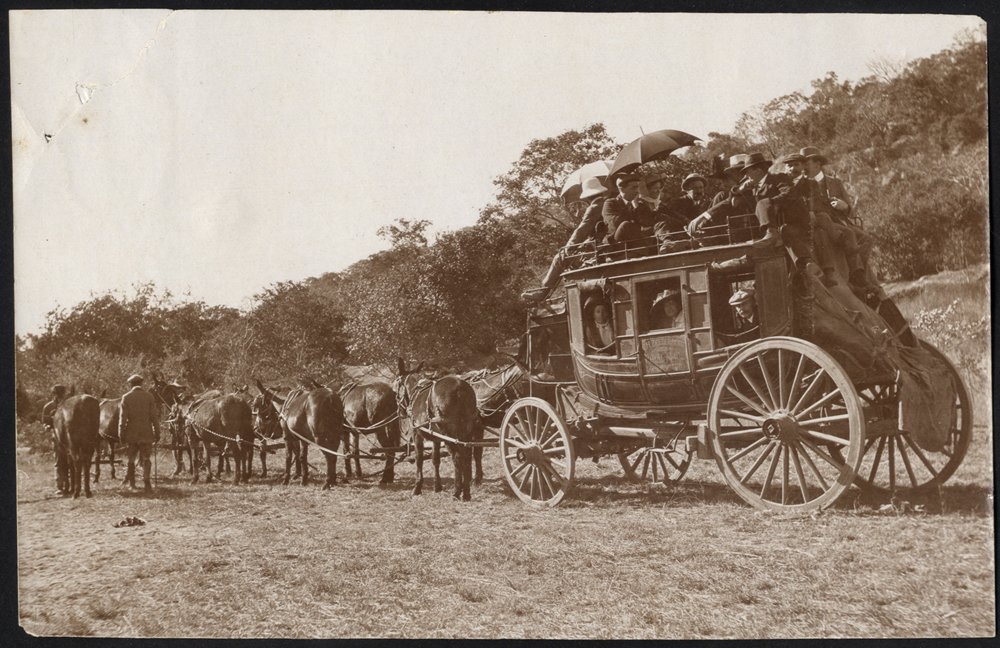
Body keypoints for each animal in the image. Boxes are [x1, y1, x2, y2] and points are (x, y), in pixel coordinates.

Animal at [392, 360, 478, 502]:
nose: (400, 411)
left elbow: (419, 459)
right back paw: (466, 492)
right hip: (466, 433)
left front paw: (417, 487)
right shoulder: (436, 438)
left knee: (457, 457)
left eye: (396, 389)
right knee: (466, 457)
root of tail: (460, 387)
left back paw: (457, 491)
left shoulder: (417, 434)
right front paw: (437, 486)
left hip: (449, 434)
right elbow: (435, 460)